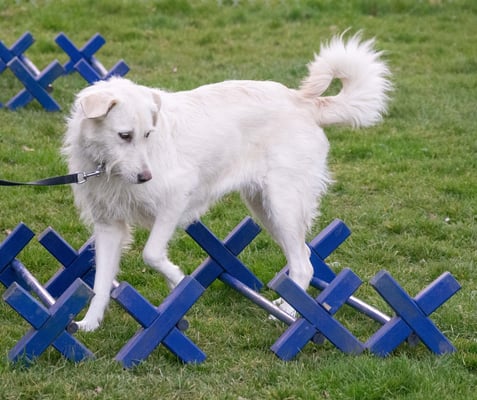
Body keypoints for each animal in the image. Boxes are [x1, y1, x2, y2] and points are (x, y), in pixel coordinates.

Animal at [62, 34, 391, 331]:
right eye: (124, 136)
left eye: (147, 135)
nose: (145, 177)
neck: (108, 168)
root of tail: (303, 102)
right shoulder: (109, 226)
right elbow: (100, 285)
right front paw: (89, 324)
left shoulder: (174, 201)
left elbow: (152, 254)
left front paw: (178, 282)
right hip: (264, 209)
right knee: (305, 257)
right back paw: (288, 306)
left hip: (282, 206)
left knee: (303, 265)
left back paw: (290, 315)